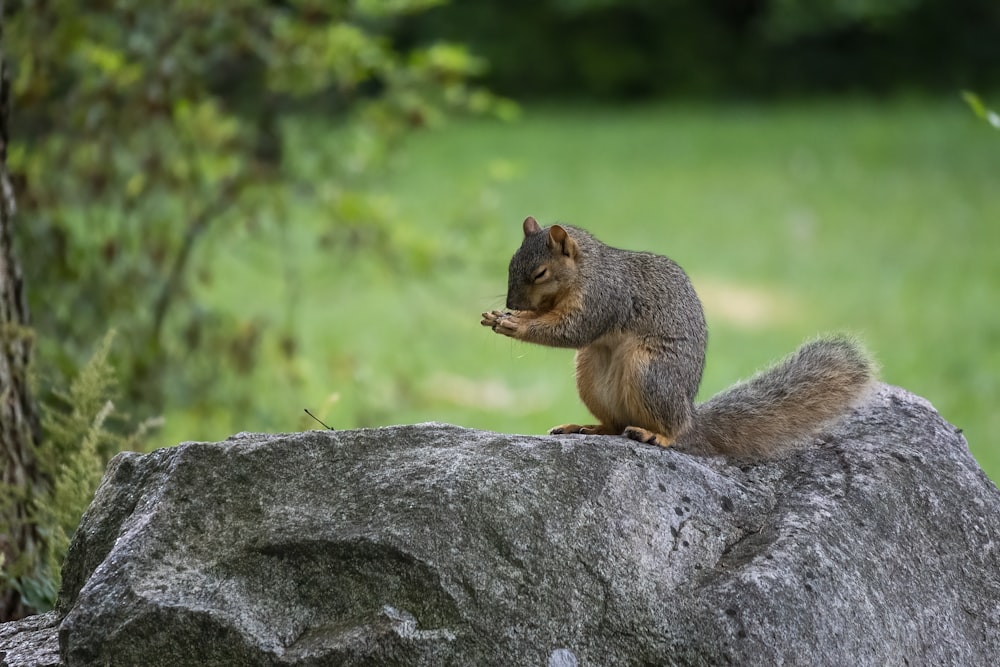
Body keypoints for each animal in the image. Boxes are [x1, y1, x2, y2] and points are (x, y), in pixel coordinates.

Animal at [478, 219, 876, 460]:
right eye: (511, 264)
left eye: (540, 273)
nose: (512, 304)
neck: (586, 269)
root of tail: (689, 413)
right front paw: (504, 317)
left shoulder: (604, 298)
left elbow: (573, 330)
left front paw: (515, 324)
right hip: (591, 374)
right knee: (615, 425)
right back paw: (588, 427)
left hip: (650, 371)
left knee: (671, 429)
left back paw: (658, 436)